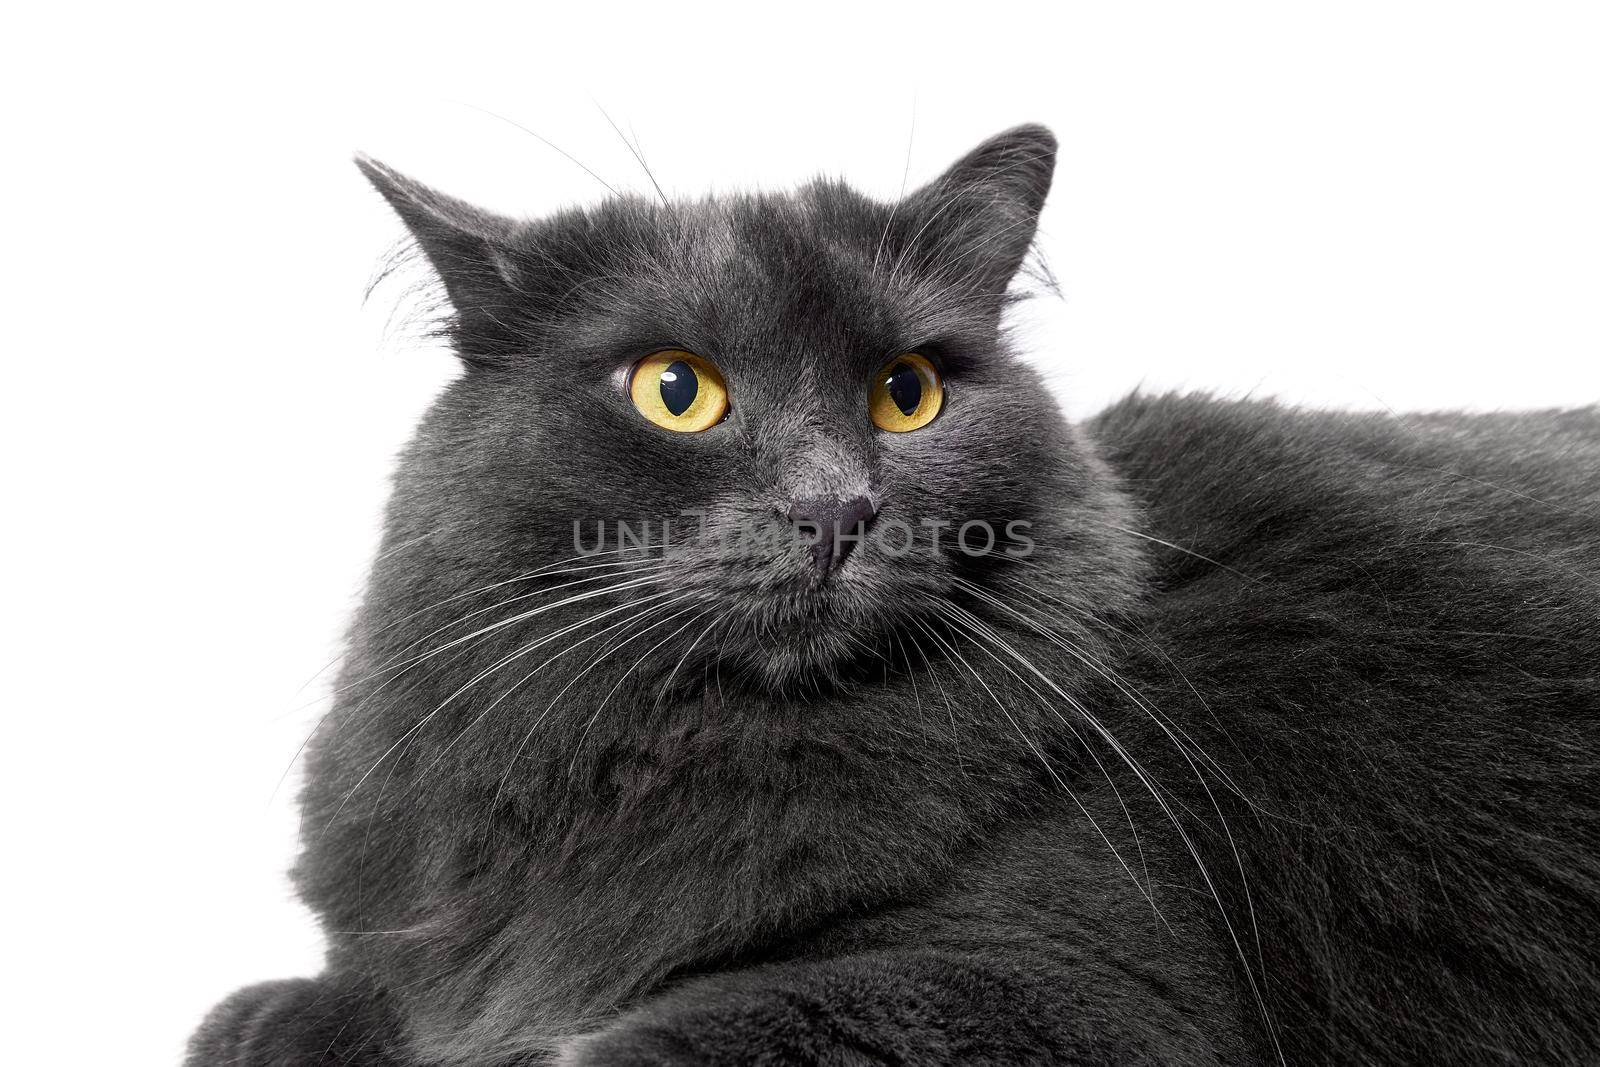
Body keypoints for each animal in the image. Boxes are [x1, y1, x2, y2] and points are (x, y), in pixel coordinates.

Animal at [190, 127, 1600, 1067]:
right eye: (674, 390)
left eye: (906, 393)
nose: (835, 507)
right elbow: (256, 1015)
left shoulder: (1070, 986)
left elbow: (632, 1044)